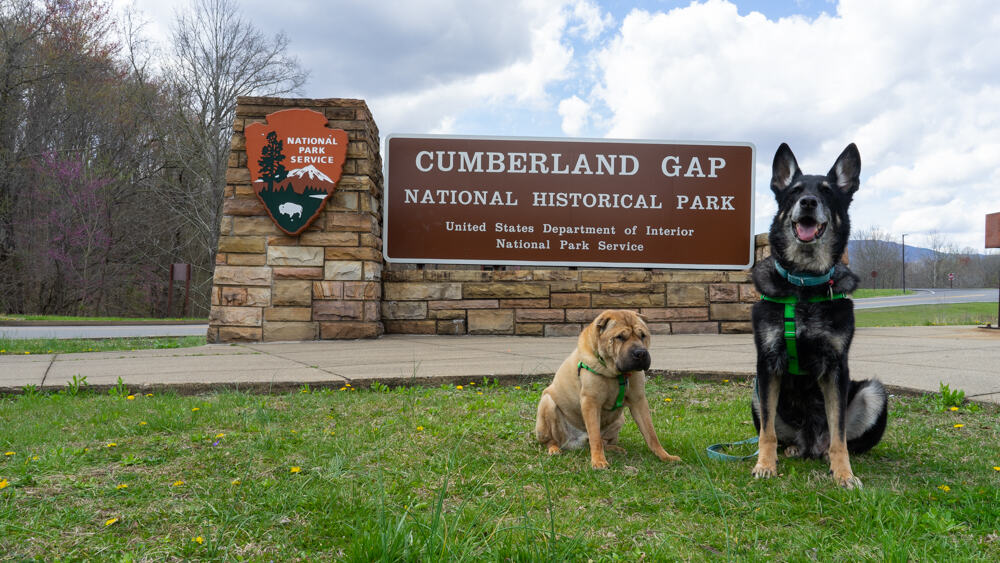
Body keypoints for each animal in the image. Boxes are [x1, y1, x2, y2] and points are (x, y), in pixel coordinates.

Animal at [536, 310, 684, 470]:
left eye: (643, 335)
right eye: (620, 337)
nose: (641, 353)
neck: (616, 374)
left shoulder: (639, 401)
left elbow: (651, 434)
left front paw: (665, 456)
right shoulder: (591, 402)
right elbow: (595, 436)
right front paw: (598, 461)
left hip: (620, 419)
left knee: (604, 441)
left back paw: (615, 449)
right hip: (547, 404)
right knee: (553, 440)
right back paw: (554, 449)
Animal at [752, 144, 888, 490]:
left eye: (827, 192)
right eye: (795, 191)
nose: (809, 202)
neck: (804, 282)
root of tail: (810, 442)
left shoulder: (836, 368)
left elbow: (839, 434)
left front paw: (844, 474)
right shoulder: (767, 364)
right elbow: (767, 433)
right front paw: (764, 465)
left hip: (874, 392)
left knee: (843, 439)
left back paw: (828, 455)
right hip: (756, 391)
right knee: (779, 435)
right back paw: (790, 450)